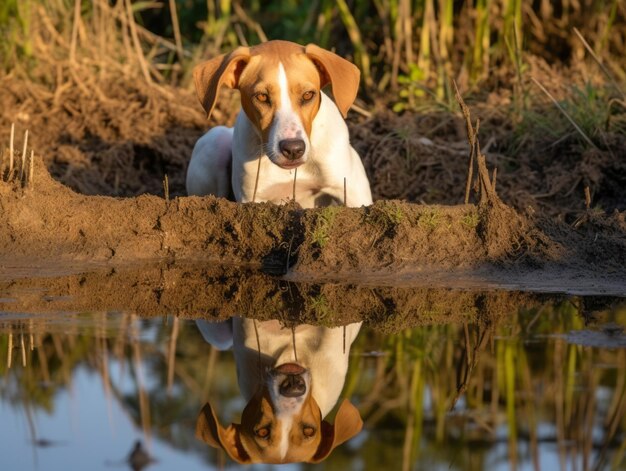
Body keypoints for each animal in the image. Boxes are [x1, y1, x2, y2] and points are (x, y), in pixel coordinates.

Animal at [185, 39, 370, 209]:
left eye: (308, 95)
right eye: (261, 96)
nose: (293, 149)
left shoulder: (353, 191)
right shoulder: (253, 197)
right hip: (215, 140)